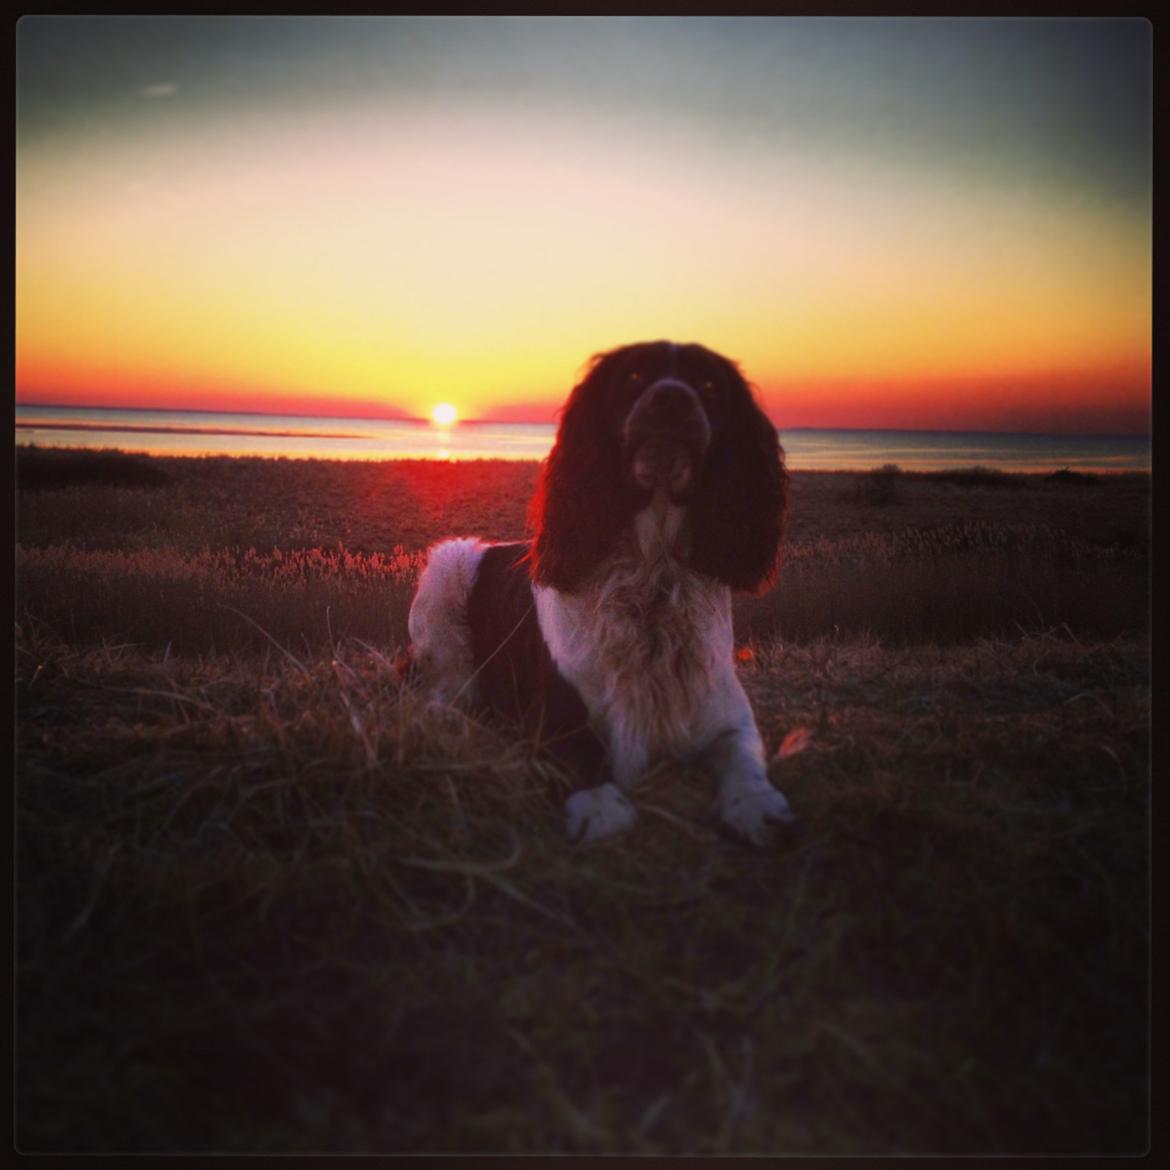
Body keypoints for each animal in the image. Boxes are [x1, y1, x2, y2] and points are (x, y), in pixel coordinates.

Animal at [404, 341, 795, 847]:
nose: (672, 399)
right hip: (447, 572)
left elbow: (745, 758)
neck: (652, 574)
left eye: (709, 384)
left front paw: (756, 805)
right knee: (438, 691)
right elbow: (582, 753)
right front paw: (600, 806)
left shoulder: (723, 711)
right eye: (633, 376)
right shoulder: (555, 712)